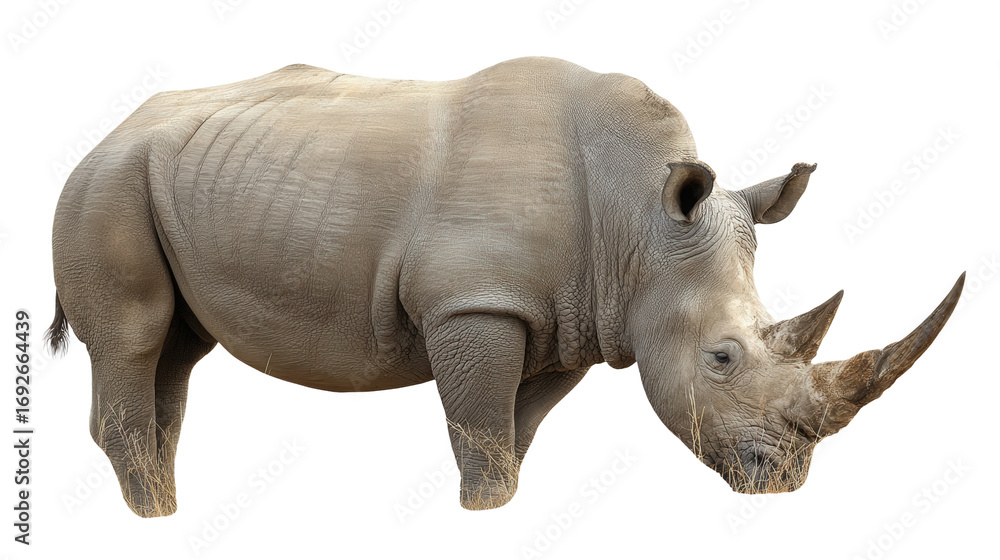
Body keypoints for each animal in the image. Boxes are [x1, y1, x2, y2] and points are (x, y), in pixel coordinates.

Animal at [46, 57, 963, 517]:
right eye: (724, 359)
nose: (785, 481)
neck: (643, 225)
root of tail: (108, 131)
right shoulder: (475, 303)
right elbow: (480, 435)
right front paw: (479, 510)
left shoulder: (565, 320)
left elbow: (510, 441)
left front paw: (499, 513)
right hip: (103, 186)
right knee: (134, 337)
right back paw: (152, 519)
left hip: (164, 175)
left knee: (177, 354)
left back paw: (164, 511)